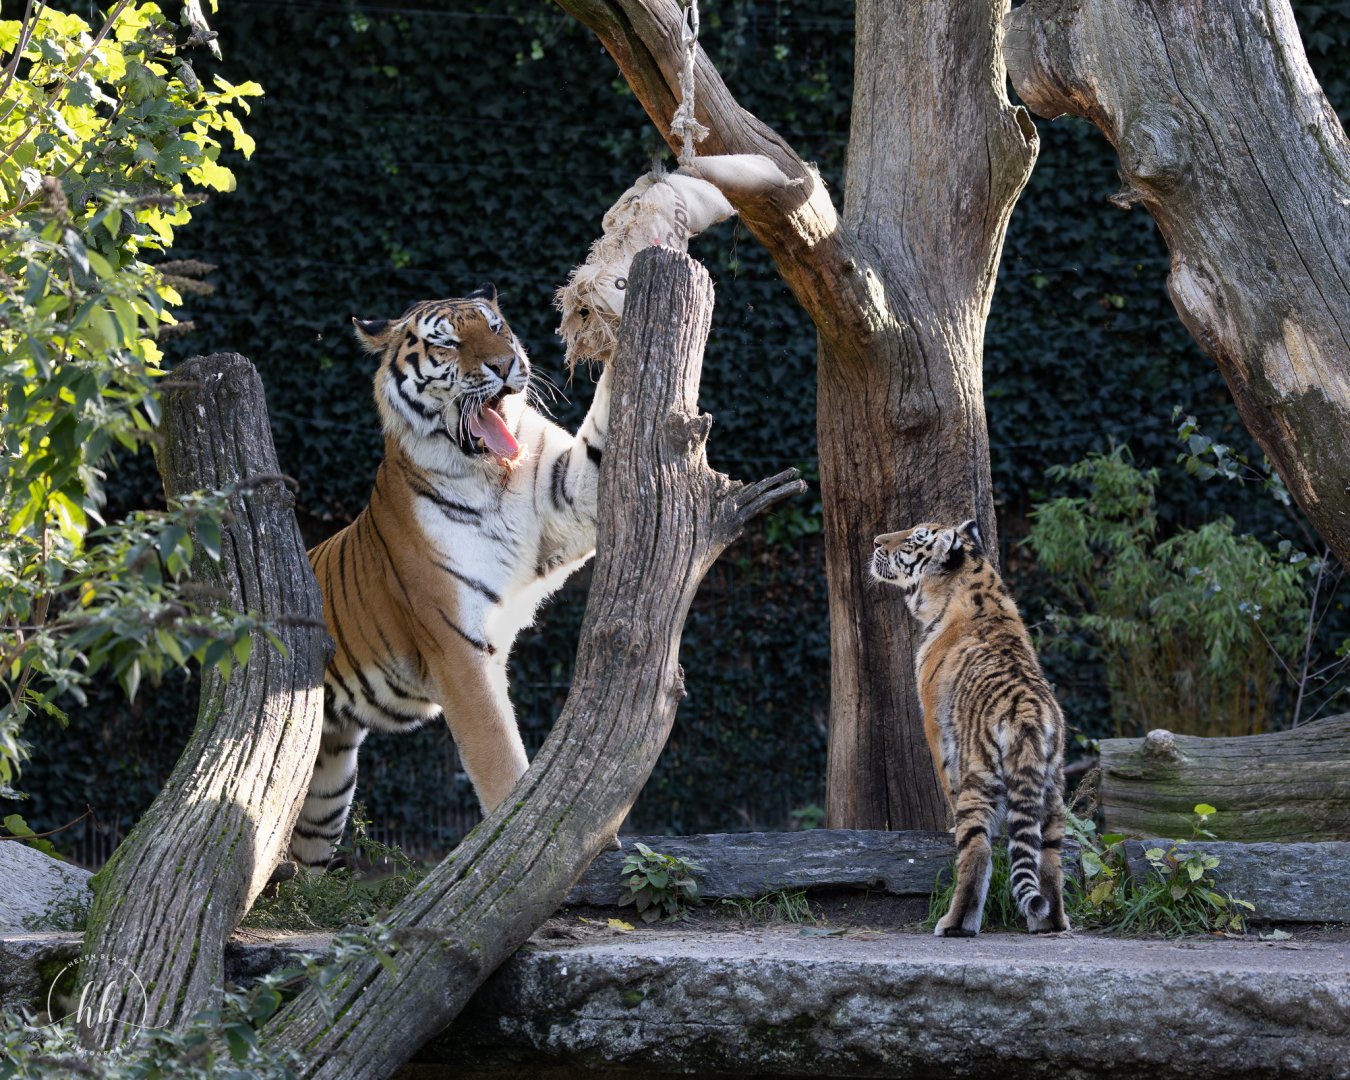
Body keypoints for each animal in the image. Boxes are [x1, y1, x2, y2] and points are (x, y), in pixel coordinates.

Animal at [287, 283, 610, 870]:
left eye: (497, 328)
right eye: (449, 343)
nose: (504, 365)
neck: (491, 472)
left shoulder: (572, 494)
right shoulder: (456, 646)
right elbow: (499, 759)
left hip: (327, 784)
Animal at [870, 519, 1069, 936]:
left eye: (915, 537)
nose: (877, 541)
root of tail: (1029, 712)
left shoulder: (933, 722)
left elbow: (946, 782)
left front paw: (946, 828)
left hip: (980, 778)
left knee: (977, 851)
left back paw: (954, 924)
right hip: (1052, 789)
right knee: (1048, 857)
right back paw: (1050, 922)